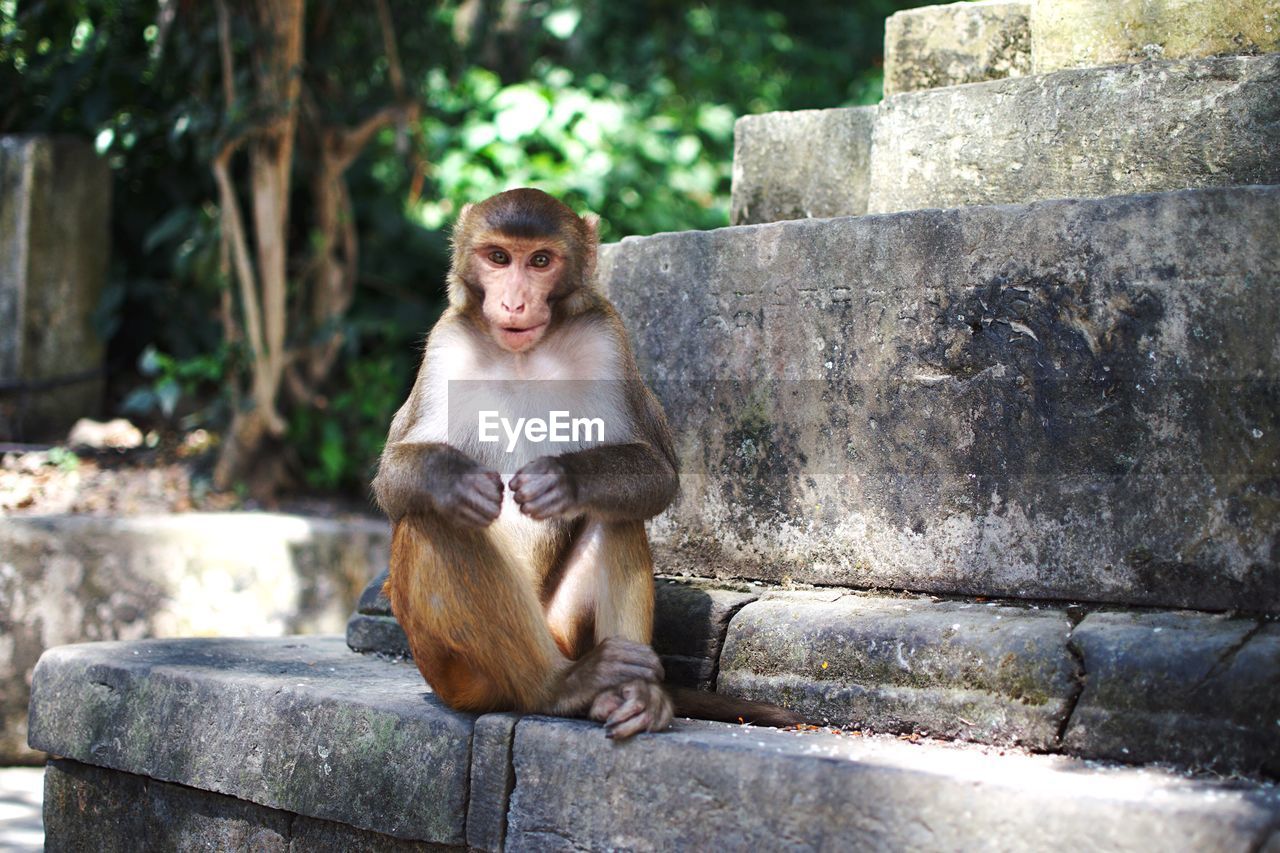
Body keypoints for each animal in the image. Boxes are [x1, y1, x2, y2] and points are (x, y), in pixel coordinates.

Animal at [371, 189, 793, 732]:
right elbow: (393, 481)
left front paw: (562, 480)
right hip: (460, 675)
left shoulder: (606, 336)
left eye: (541, 261)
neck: (522, 356)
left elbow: (656, 472)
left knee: (618, 513)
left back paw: (630, 693)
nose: (514, 301)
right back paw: (556, 688)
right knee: (436, 520)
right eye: (499, 257)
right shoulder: (446, 345)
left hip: (562, 630)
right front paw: (456, 480)